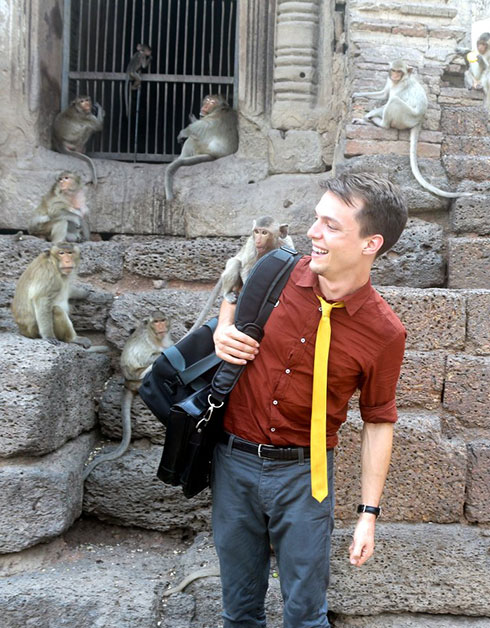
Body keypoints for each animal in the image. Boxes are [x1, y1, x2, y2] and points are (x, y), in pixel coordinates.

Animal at [84, 312, 174, 478]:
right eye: (156, 322)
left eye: (162, 320)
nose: (161, 326)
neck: (155, 336)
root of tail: (128, 383)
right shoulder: (146, 341)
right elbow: (147, 357)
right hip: (139, 379)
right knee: (154, 363)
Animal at [352, 59, 470, 199]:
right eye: (393, 70)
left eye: (399, 71)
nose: (395, 76)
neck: (399, 81)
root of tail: (419, 119)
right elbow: (383, 94)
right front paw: (357, 94)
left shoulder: (402, 87)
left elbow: (388, 100)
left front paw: (366, 116)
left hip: (406, 118)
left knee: (394, 101)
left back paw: (380, 123)